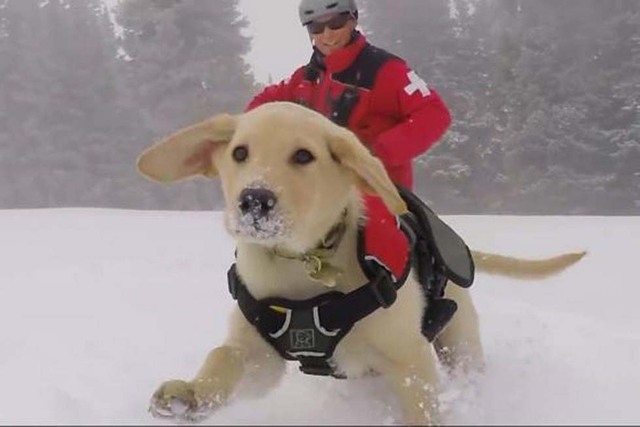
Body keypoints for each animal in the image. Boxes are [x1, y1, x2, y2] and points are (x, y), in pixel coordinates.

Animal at [138, 102, 588, 426]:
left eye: (303, 156)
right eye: (240, 153)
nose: (254, 201)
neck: (304, 265)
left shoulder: (409, 356)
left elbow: (421, 408)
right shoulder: (258, 351)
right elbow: (223, 357)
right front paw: (191, 394)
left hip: (459, 342)